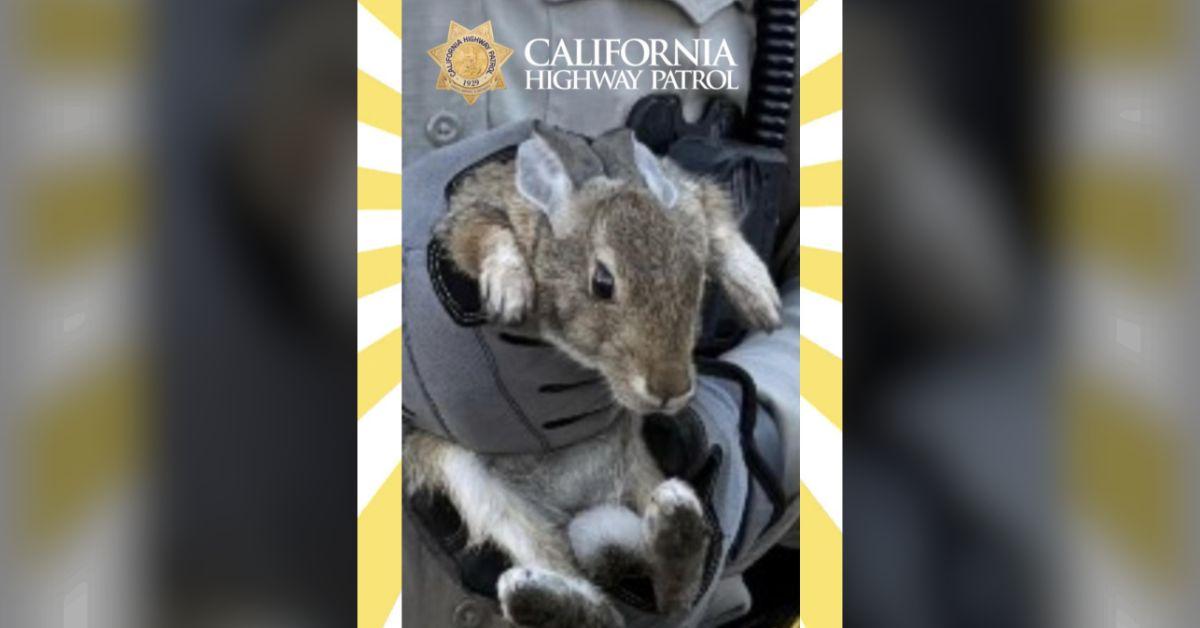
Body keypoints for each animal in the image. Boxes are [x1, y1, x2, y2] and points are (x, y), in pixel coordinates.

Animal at [403, 126, 781, 628]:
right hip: (478, 488)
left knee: (668, 591)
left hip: (641, 471)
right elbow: (483, 234)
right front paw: (509, 291)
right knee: (588, 592)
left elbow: (718, 222)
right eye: (603, 283)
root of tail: (576, 505)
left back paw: (675, 527)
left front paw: (761, 299)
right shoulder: (470, 215)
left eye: (699, 280)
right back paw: (538, 596)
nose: (670, 390)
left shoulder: (695, 197)